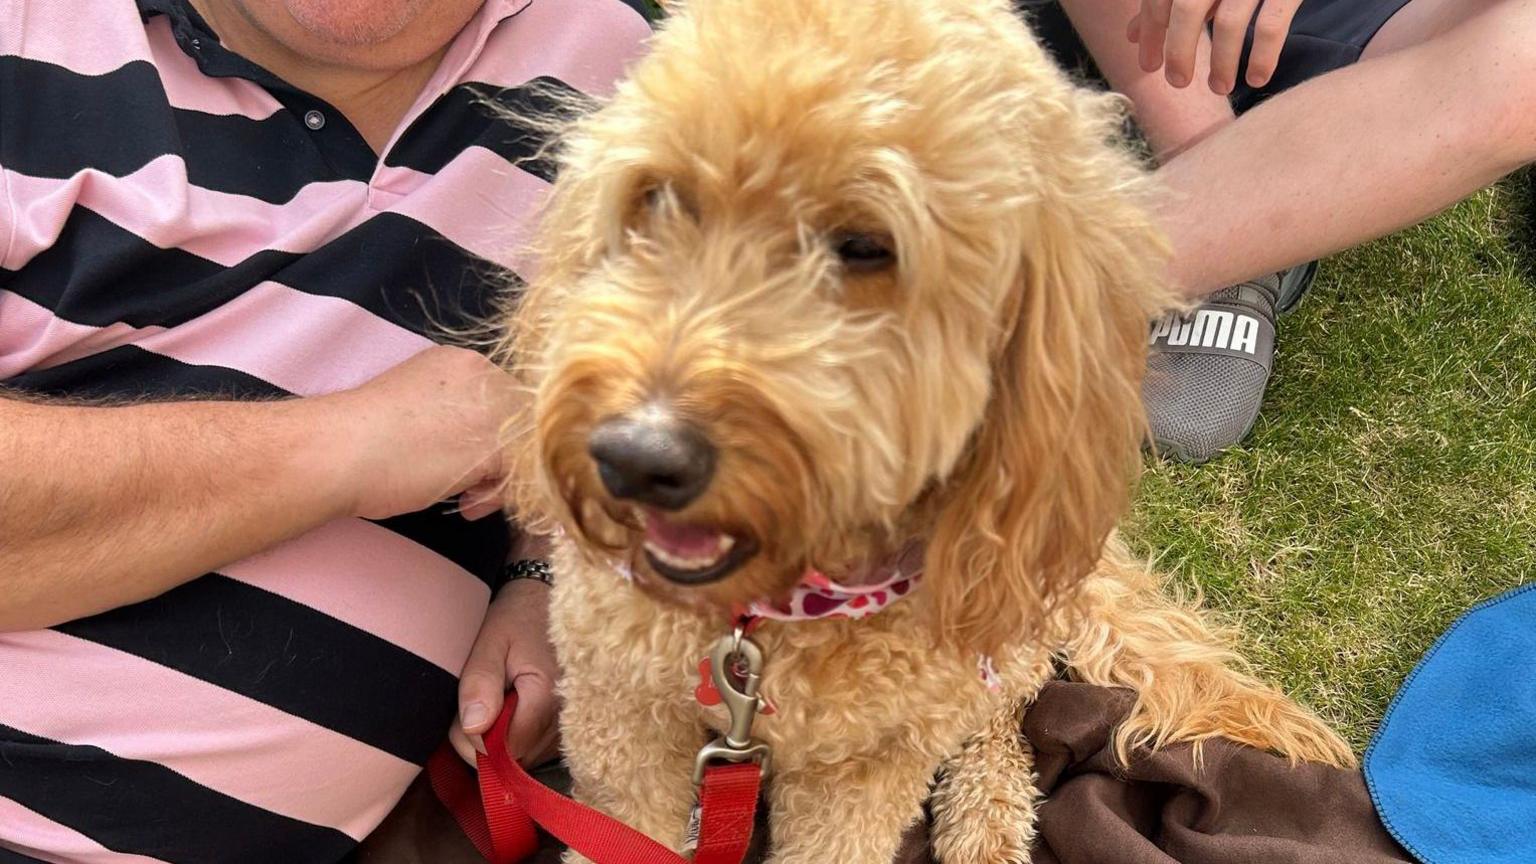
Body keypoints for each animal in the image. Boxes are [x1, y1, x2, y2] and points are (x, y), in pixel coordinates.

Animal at [497, 3, 1351, 854]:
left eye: (867, 246)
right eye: (660, 197)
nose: (637, 456)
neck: (770, 617)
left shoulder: (868, 767)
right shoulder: (620, 714)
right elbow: (624, 827)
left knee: (1000, 724)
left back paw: (987, 826)